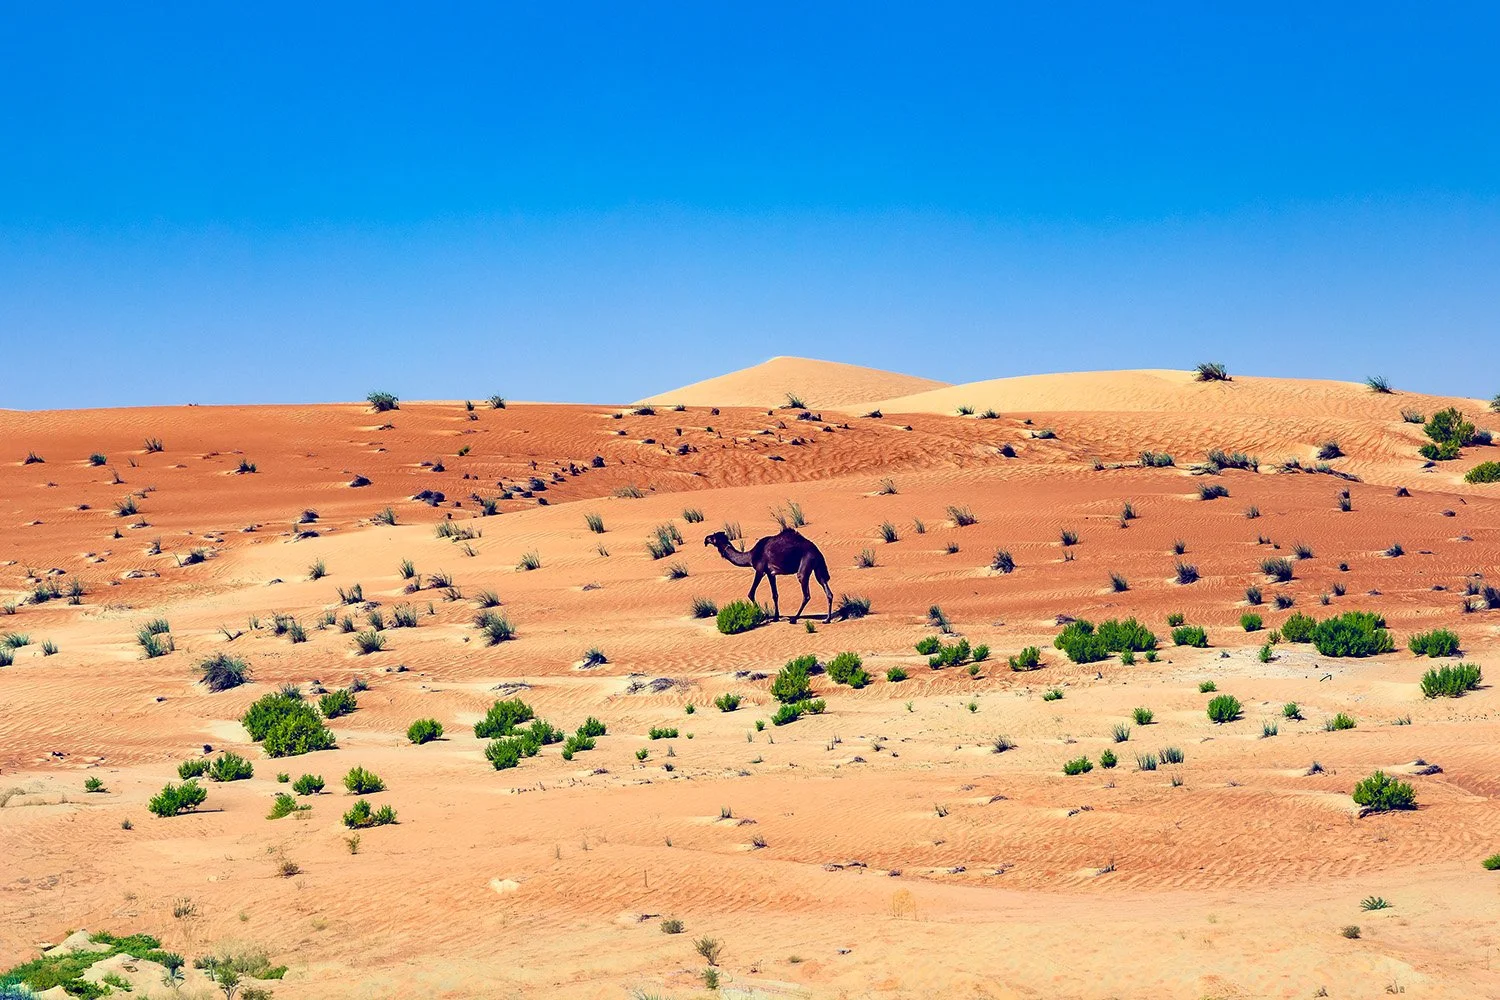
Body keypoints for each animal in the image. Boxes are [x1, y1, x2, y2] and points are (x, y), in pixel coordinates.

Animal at [704, 527, 834, 623]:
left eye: (713, 537)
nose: (706, 539)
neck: (750, 556)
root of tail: (817, 552)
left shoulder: (760, 570)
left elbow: (751, 593)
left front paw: (763, 614)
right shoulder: (771, 573)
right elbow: (775, 595)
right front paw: (775, 617)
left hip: (804, 566)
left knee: (806, 594)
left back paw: (794, 619)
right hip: (817, 569)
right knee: (828, 591)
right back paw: (827, 619)